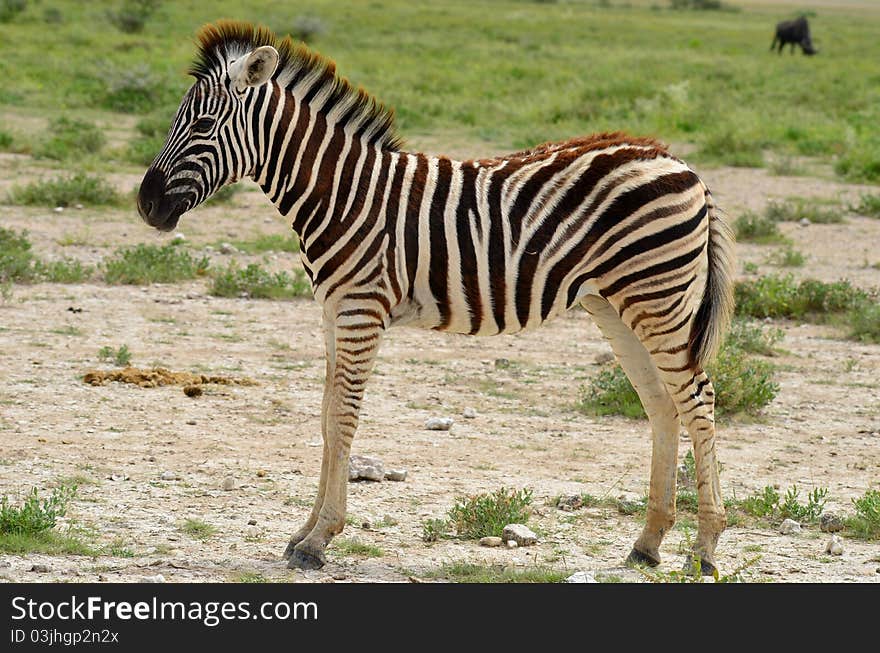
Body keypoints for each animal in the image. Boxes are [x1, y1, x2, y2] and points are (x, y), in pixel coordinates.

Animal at [139, 21, 736, 572]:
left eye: (203, 124)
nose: (146, 205)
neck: (342, 193)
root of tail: (678, 161)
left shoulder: (360, 310)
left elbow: (344, 417)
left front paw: (319, 539)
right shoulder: (332, 312)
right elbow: (326, 416)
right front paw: (303, 533)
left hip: (658, 296)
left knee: (698, 399)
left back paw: (704, 549)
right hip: (613, 302)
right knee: (662, 404)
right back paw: (648, 544)